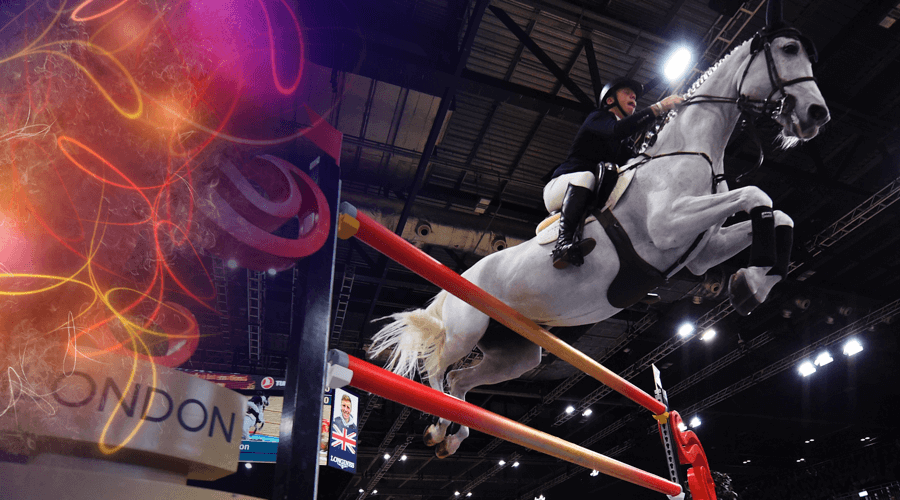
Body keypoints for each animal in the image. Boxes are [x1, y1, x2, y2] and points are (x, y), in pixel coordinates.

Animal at [368, 7, 828, 458]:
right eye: (788, 49)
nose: (816, 115)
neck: (691, 150)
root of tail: (459, 279)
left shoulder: (701, 251)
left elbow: (778, 214)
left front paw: (751, 284)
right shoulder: (669, 224)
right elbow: (758, 193)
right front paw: (752, 280)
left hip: (516, 353)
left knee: (461, 381)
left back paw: (454, 434)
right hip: (467, 329)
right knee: (437, 369)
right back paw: (437, 427)